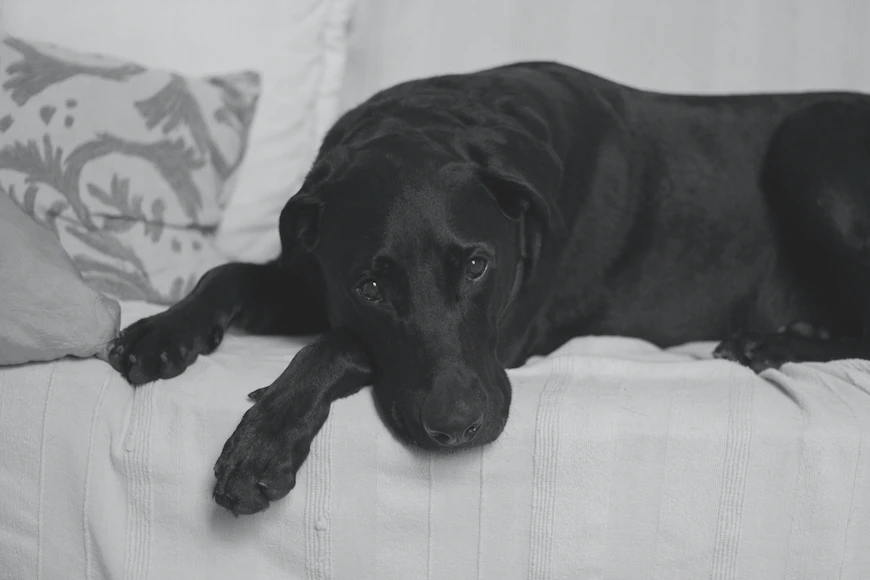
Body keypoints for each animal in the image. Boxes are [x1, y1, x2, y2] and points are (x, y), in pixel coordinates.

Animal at [112, 63, 870, 516]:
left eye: (478, 266)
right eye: (371, 285)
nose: (455, 429)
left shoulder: (509, 334)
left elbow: (340, 342)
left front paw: (264, 441)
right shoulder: (312, 278)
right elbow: (229, 274)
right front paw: (161, 332)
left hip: (809, 139)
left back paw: (769, 343)